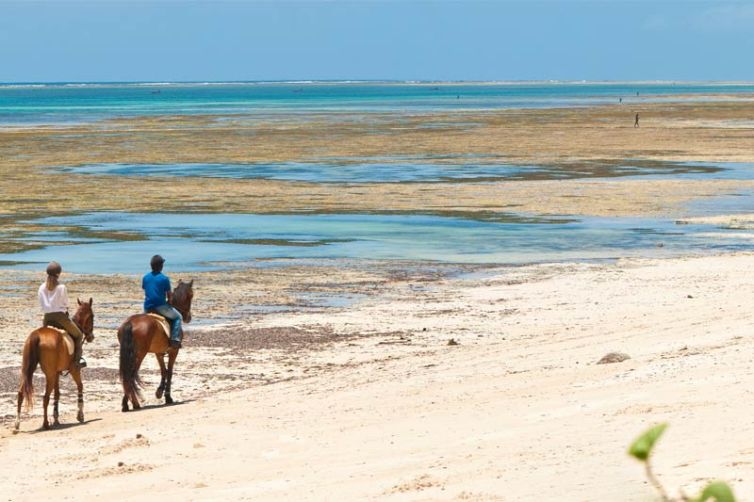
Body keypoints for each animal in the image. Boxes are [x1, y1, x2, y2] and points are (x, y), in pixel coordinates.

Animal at [15, 298, 95, 431]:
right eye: (92, 316)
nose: (91, 337)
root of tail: (36, 335)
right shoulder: (74, 370)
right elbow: (80, 386)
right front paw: (80, 415)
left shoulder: (57, 372)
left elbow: (57, 393)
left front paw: (56, 417)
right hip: (50, 375)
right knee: (45, 397)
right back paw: (45, 423)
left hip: (28, 371)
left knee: (21, 394)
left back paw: (17, 424)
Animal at [117, 279, 193, 411]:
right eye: (191, 295)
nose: (188, 317)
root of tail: (130, 323)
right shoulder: (174, 351)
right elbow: (170, 372)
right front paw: (168, 397)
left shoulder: (159, 353)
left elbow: (164, 371)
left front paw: (159, 392)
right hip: (139, 354)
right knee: (130, 375)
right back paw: (135, 404)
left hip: (127, 355)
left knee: (126, 376)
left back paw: (126, 404)